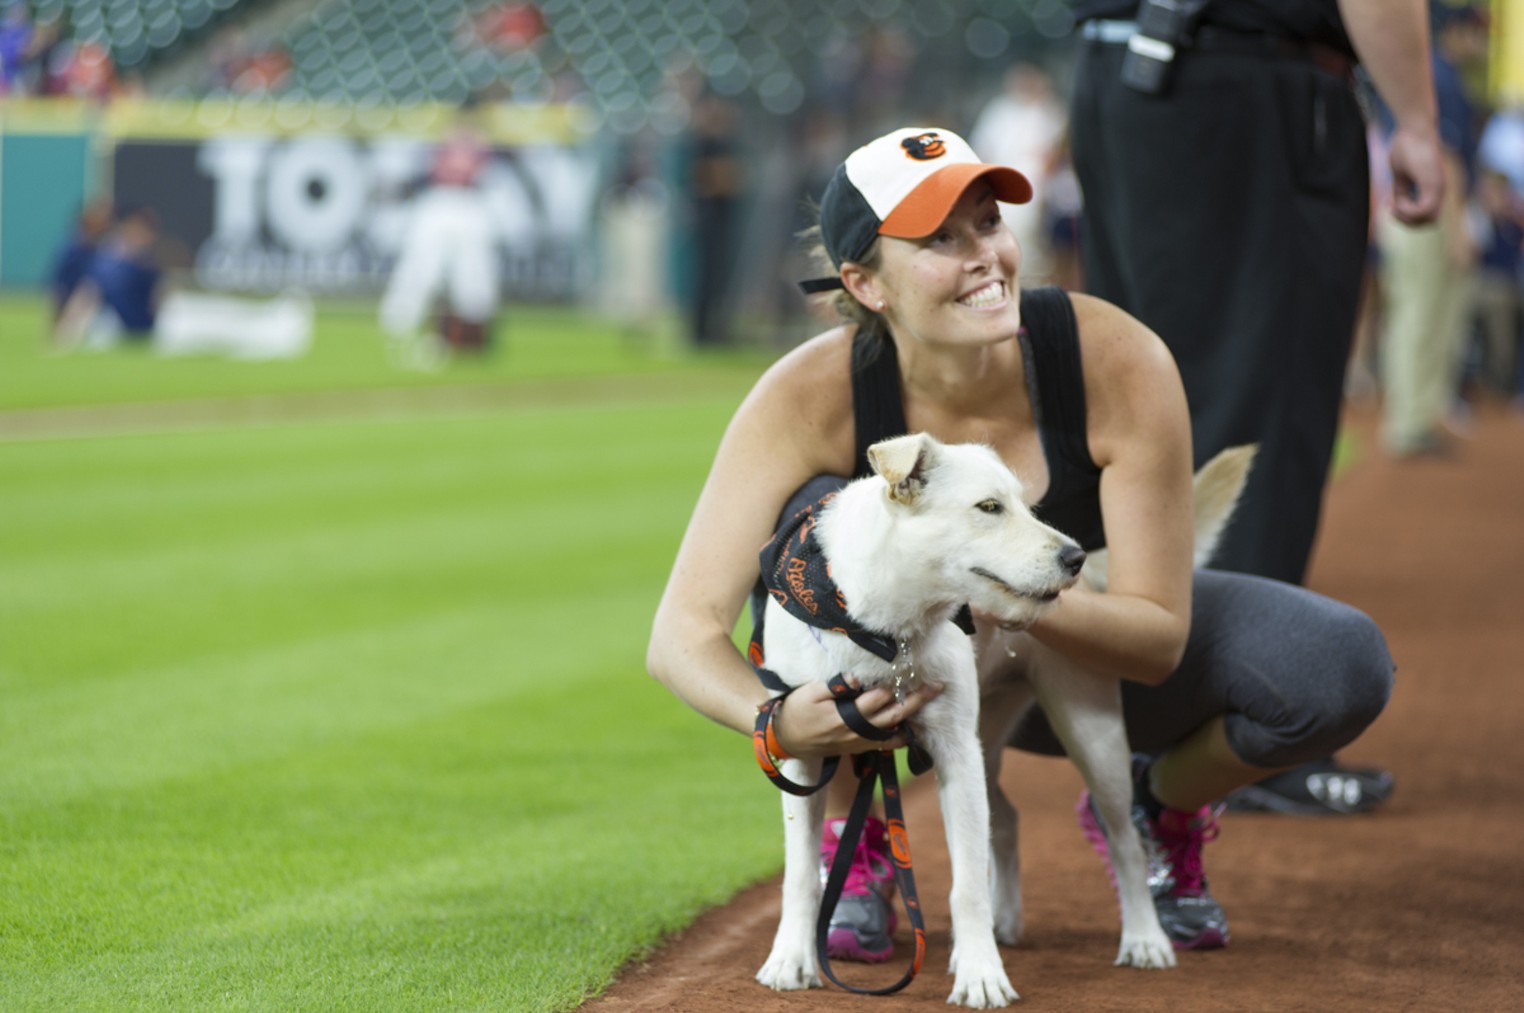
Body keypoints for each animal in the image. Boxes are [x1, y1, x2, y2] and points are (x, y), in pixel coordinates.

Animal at [755, 432, 1255, 1005]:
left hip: (1091, 736)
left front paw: (980, 973)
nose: (1073, 557)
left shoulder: (955, 752)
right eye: (989, 507)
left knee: (1125, 840)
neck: (882, 632)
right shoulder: (804, 750)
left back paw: (1144, 938)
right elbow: (799, 874)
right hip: (988, 740)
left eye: (1026, 504)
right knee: (1010, 817)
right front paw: (791, 958)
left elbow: (967, 883)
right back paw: (1005, 921)